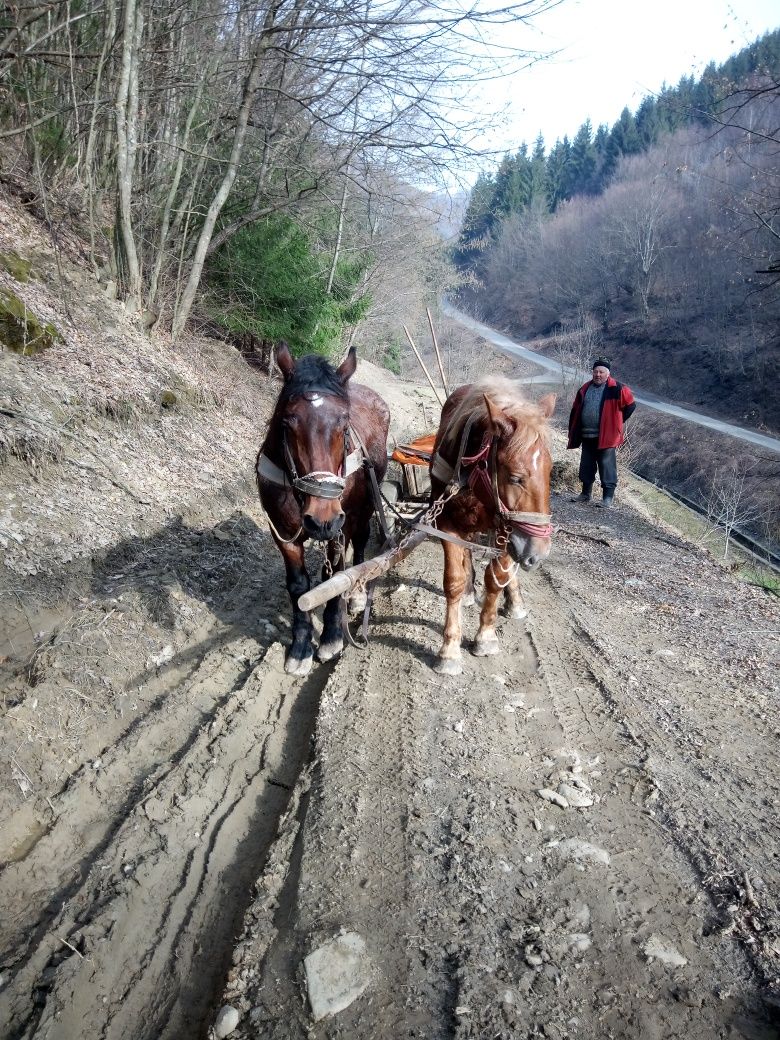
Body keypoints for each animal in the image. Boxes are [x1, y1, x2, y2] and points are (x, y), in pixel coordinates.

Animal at [257, 345, 388, 678]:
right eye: (287, 422)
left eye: (344, 424)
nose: (322, 519)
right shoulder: (284, 534)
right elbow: (297, 586)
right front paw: (300, 647)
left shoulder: (340, 528)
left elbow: (336, 576)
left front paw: (331, 637)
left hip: (364, 508)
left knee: (362, 542)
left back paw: (357, 595)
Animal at [428, 378, 557, 678]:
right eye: (516, 477)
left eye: (549, 472)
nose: (539, 553)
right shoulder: (447, 524)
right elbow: (454, 580)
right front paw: (449, 648)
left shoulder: (509, 531)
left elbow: (496, 578)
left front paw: (486, 634)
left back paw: (515, 601)